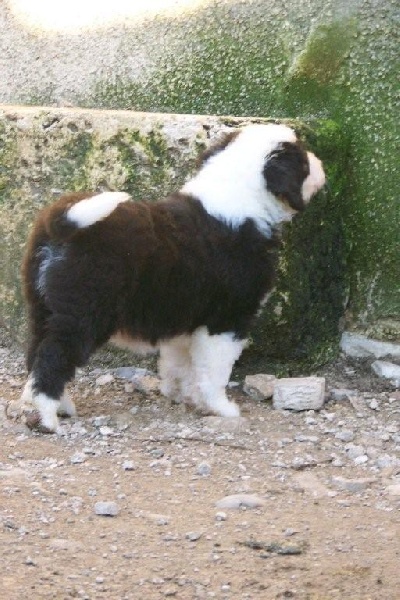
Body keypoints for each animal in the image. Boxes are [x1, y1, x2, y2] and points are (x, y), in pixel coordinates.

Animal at [7, 123, 325, 433]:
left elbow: (179, 364)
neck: (238, 196)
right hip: (82, 315)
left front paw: (180, 395)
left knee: (35, 356)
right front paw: (221, 408)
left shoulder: (183, 319)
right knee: (53, 358)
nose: (320, 163)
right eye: (303, 159)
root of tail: (59, 221)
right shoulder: (227, 321)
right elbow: (214, 371)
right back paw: (49, 417)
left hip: (42, 307)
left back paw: (52, 405)